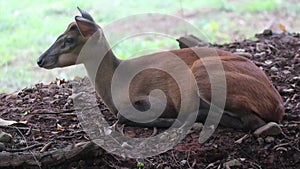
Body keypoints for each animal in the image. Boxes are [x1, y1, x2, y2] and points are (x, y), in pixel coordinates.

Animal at [37, 7, 284, 133]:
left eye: (69, 39)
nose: (40, 60)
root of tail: (278, 105)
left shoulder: (154, 98)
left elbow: (124, 115)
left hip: (204, 75)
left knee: (253, 123)